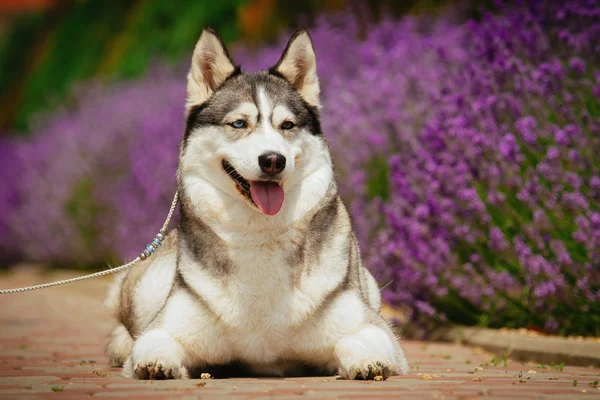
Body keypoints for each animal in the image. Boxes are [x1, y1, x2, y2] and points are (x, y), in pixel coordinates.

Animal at [105, 26, 410, 380]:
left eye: (287, 125)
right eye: (239, 123)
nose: (273, 160)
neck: (259, 235)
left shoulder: (373, 329)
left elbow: (362, 341)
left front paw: (366, 362)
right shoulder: (165, 328)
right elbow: (153, 343)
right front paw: (157, 363)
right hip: (148, 288)